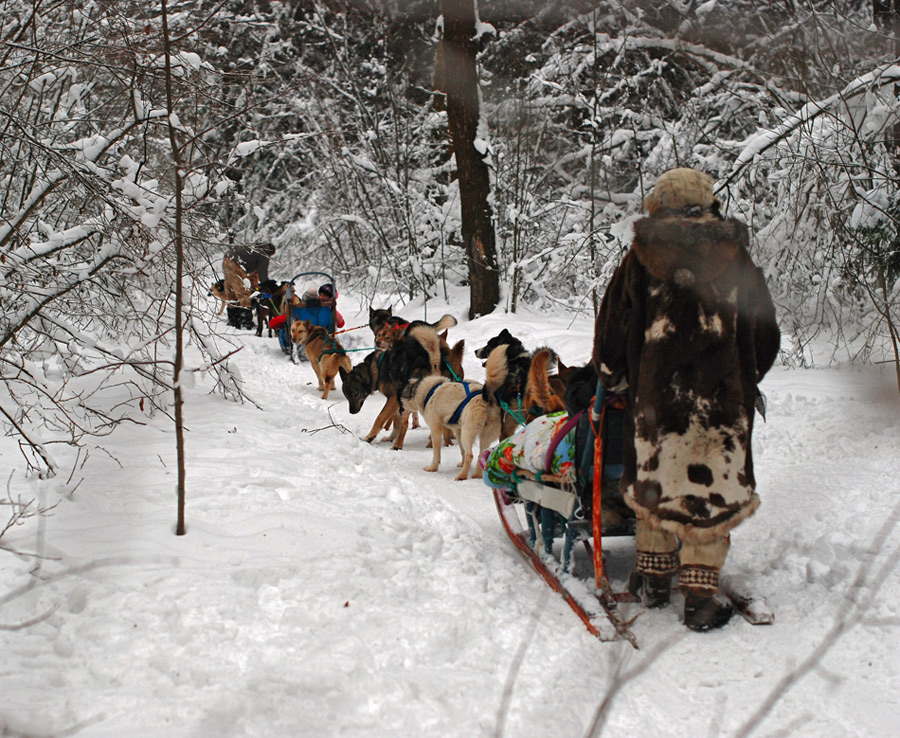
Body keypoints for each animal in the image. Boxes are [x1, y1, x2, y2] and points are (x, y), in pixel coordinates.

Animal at [400, 344, 506, 480]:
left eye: (401, 399)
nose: (400, 411)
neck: (428, 392)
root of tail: (487, 397)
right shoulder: (457, 430)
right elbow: (461, 450)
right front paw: (461, 463)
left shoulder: (436, 429)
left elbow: (436, 453)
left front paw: (432, 467)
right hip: (482, 435)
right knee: (479, 454)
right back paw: (476, 475)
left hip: (468, 432)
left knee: (470, 455)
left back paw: (462, 476)